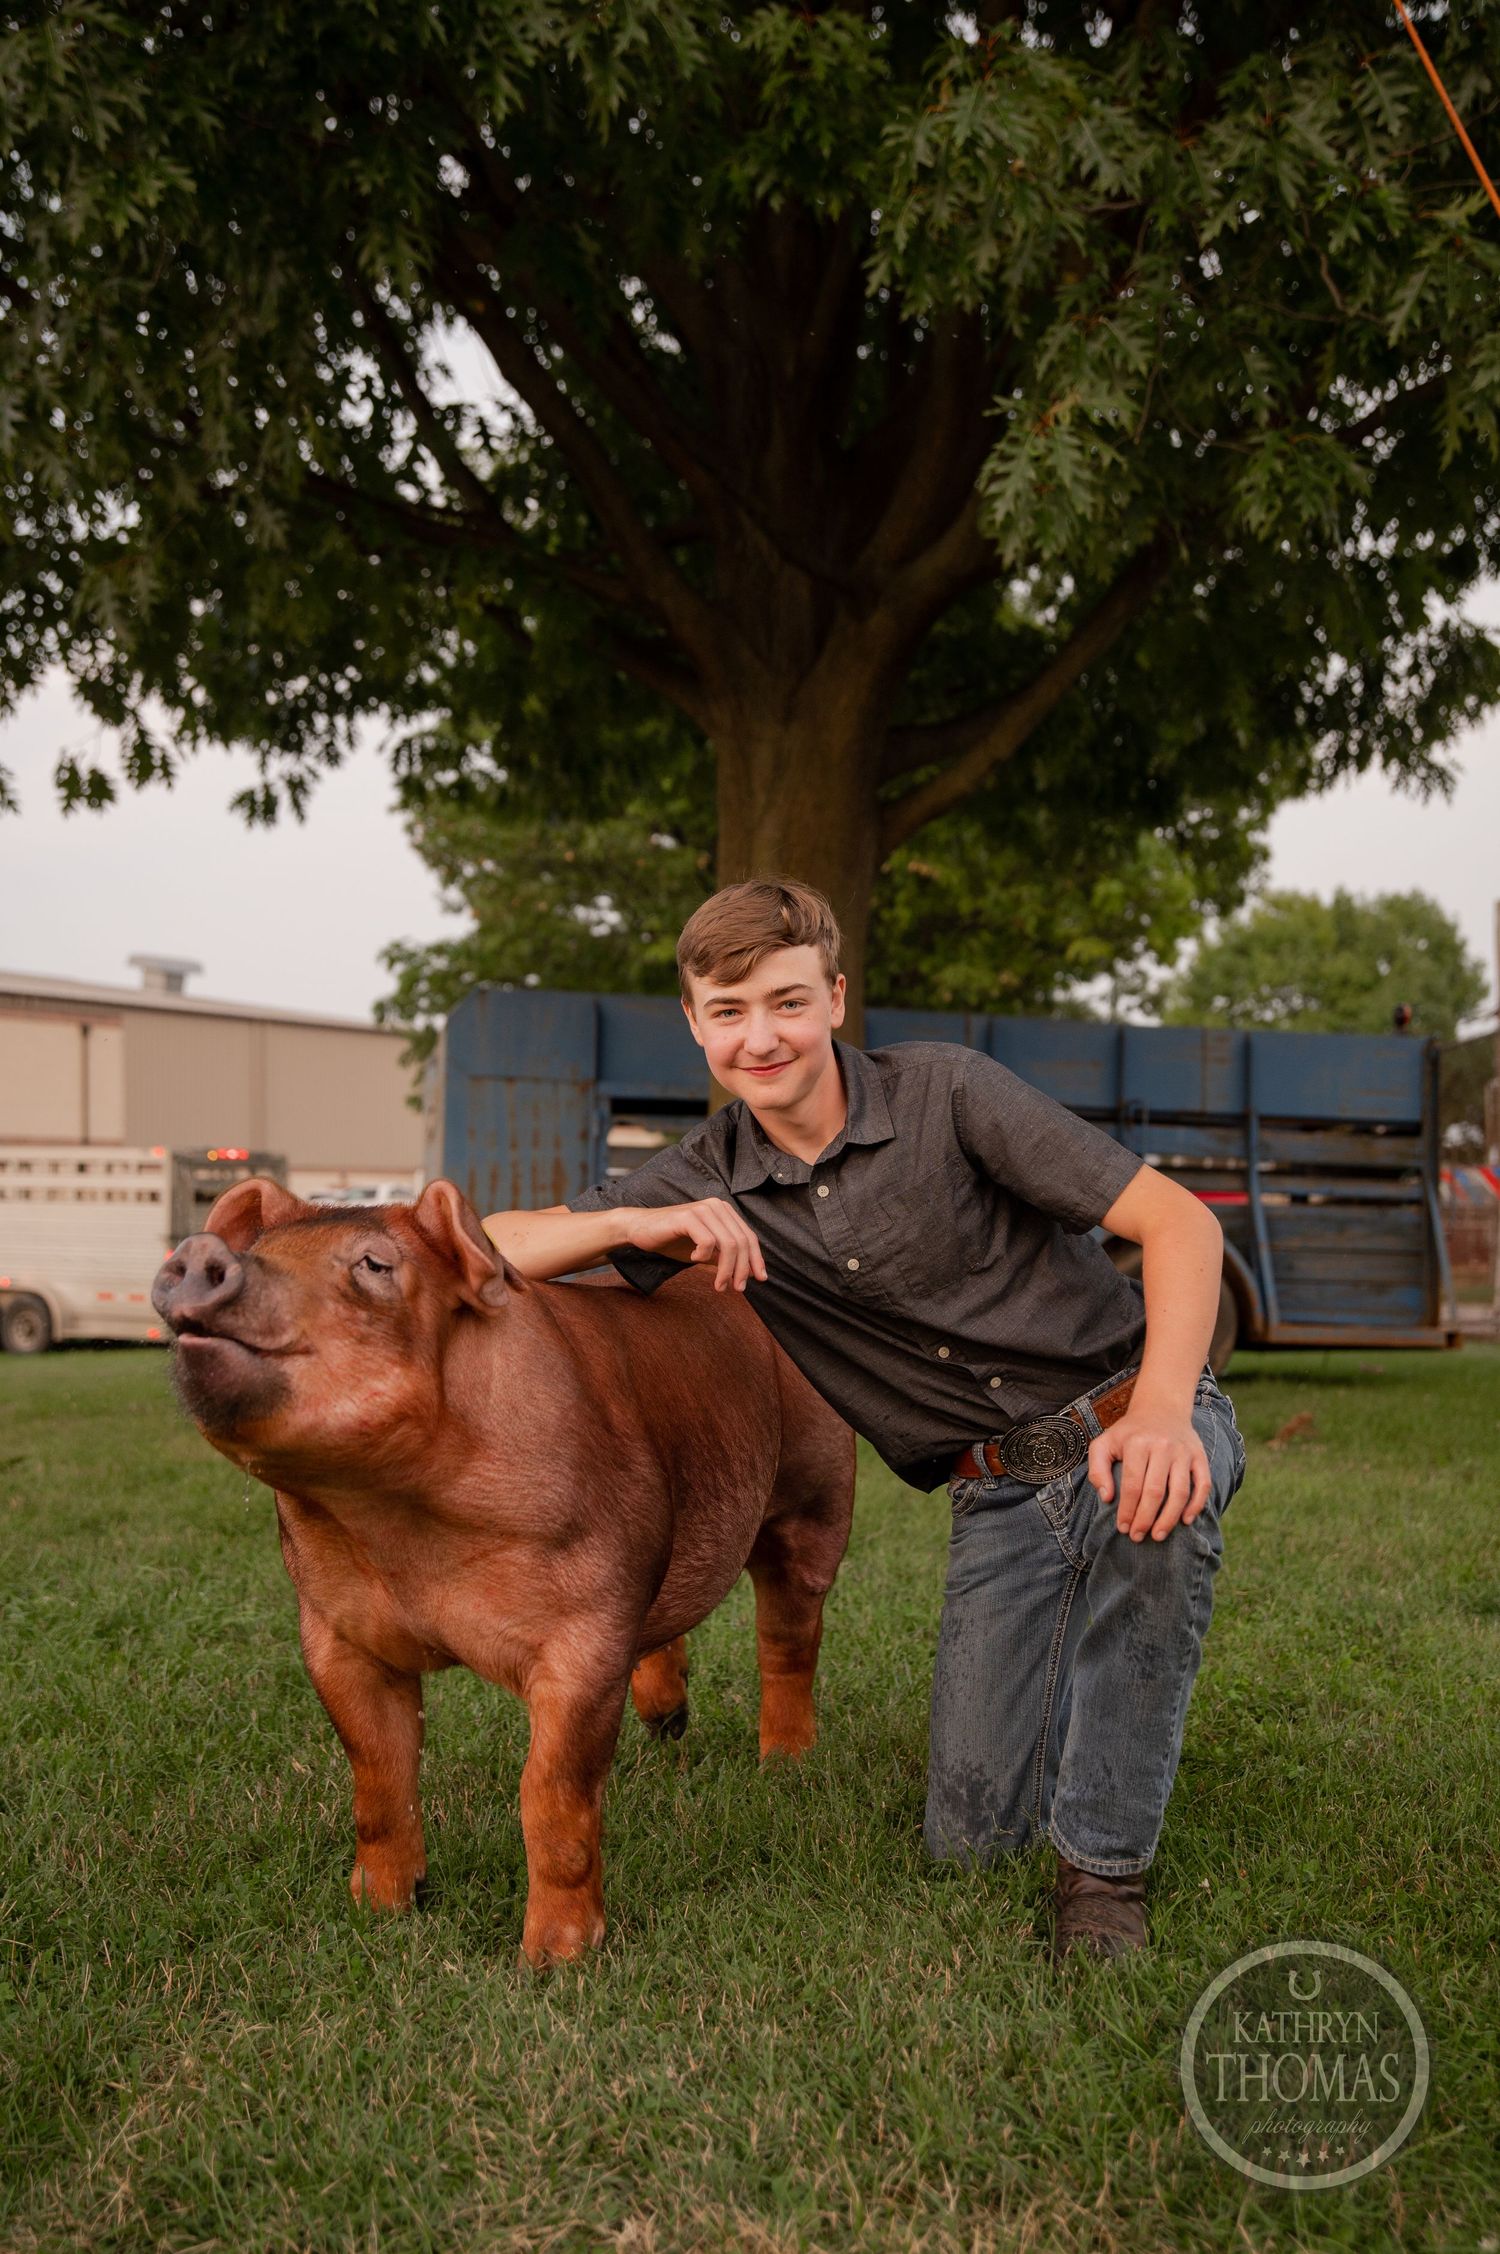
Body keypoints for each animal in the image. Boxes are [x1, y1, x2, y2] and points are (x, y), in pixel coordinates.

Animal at [151, 1177, 854, 1966]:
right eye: (261, 1249)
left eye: (374, 1264)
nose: (198, 1252)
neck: (404, 1531)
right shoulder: (333, 1631)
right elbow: (377, 1772)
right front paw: (381, 1913)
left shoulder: (588, 1628)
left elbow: (551, 1790)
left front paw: (554, 1962)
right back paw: (669, 1726)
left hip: (815, 1494)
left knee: (788, 1636)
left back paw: (784, 1767)